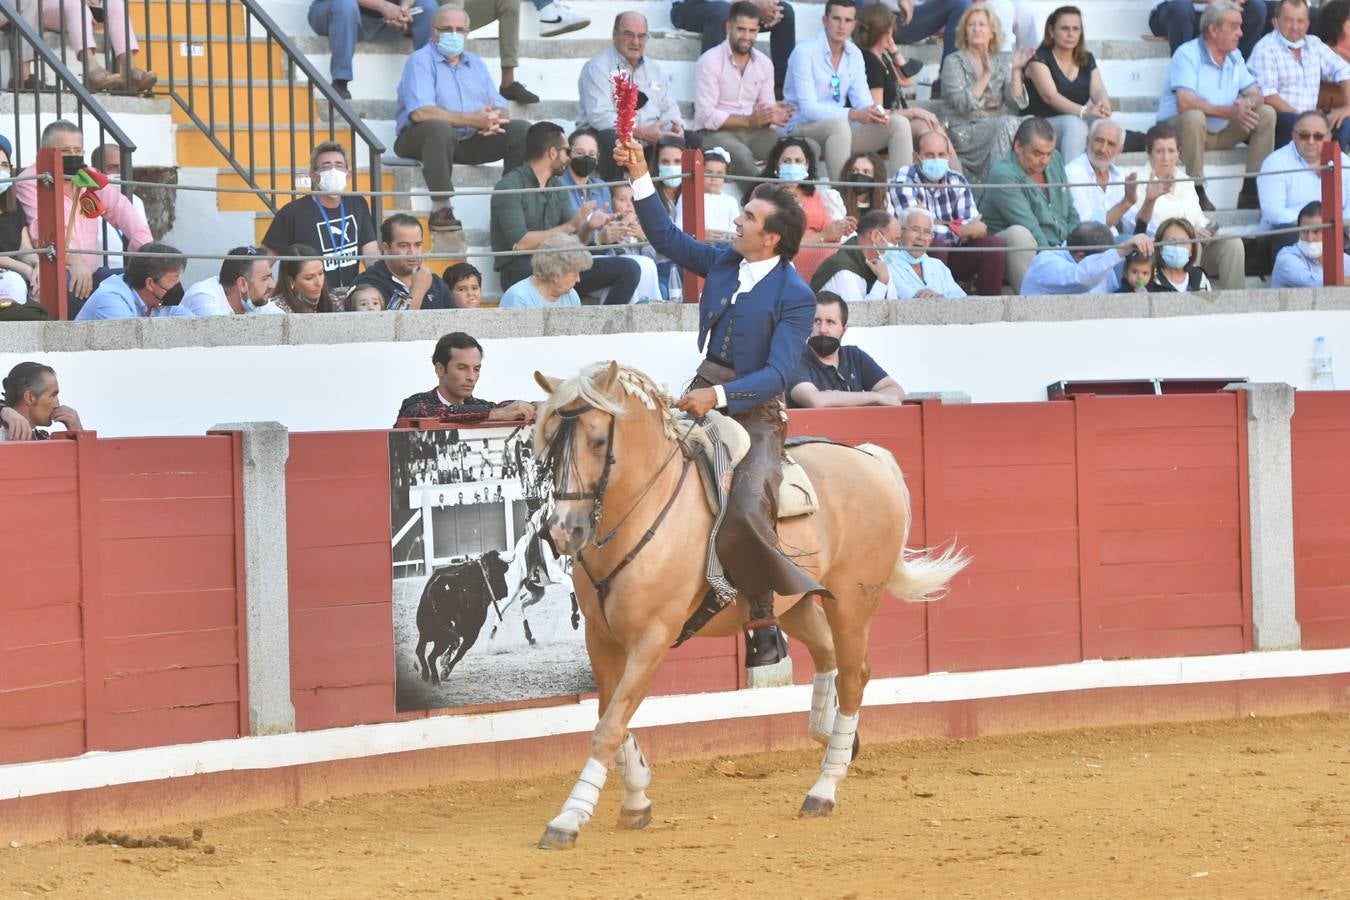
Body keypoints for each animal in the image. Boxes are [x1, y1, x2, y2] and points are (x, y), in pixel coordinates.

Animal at [529, 361, 972, 847]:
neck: (640, 510)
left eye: (597, 440)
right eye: (549, 443)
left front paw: (569, 818)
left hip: (854, 601)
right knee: (828, 656)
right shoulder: (600, 636)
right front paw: (636, 798)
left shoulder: (653, 638)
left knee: (855, 676)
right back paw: (830, 735)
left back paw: (824, 786)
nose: (562, 532)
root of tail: (869, 458)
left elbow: (609, 726)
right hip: (795, 601)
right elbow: (609, 713)